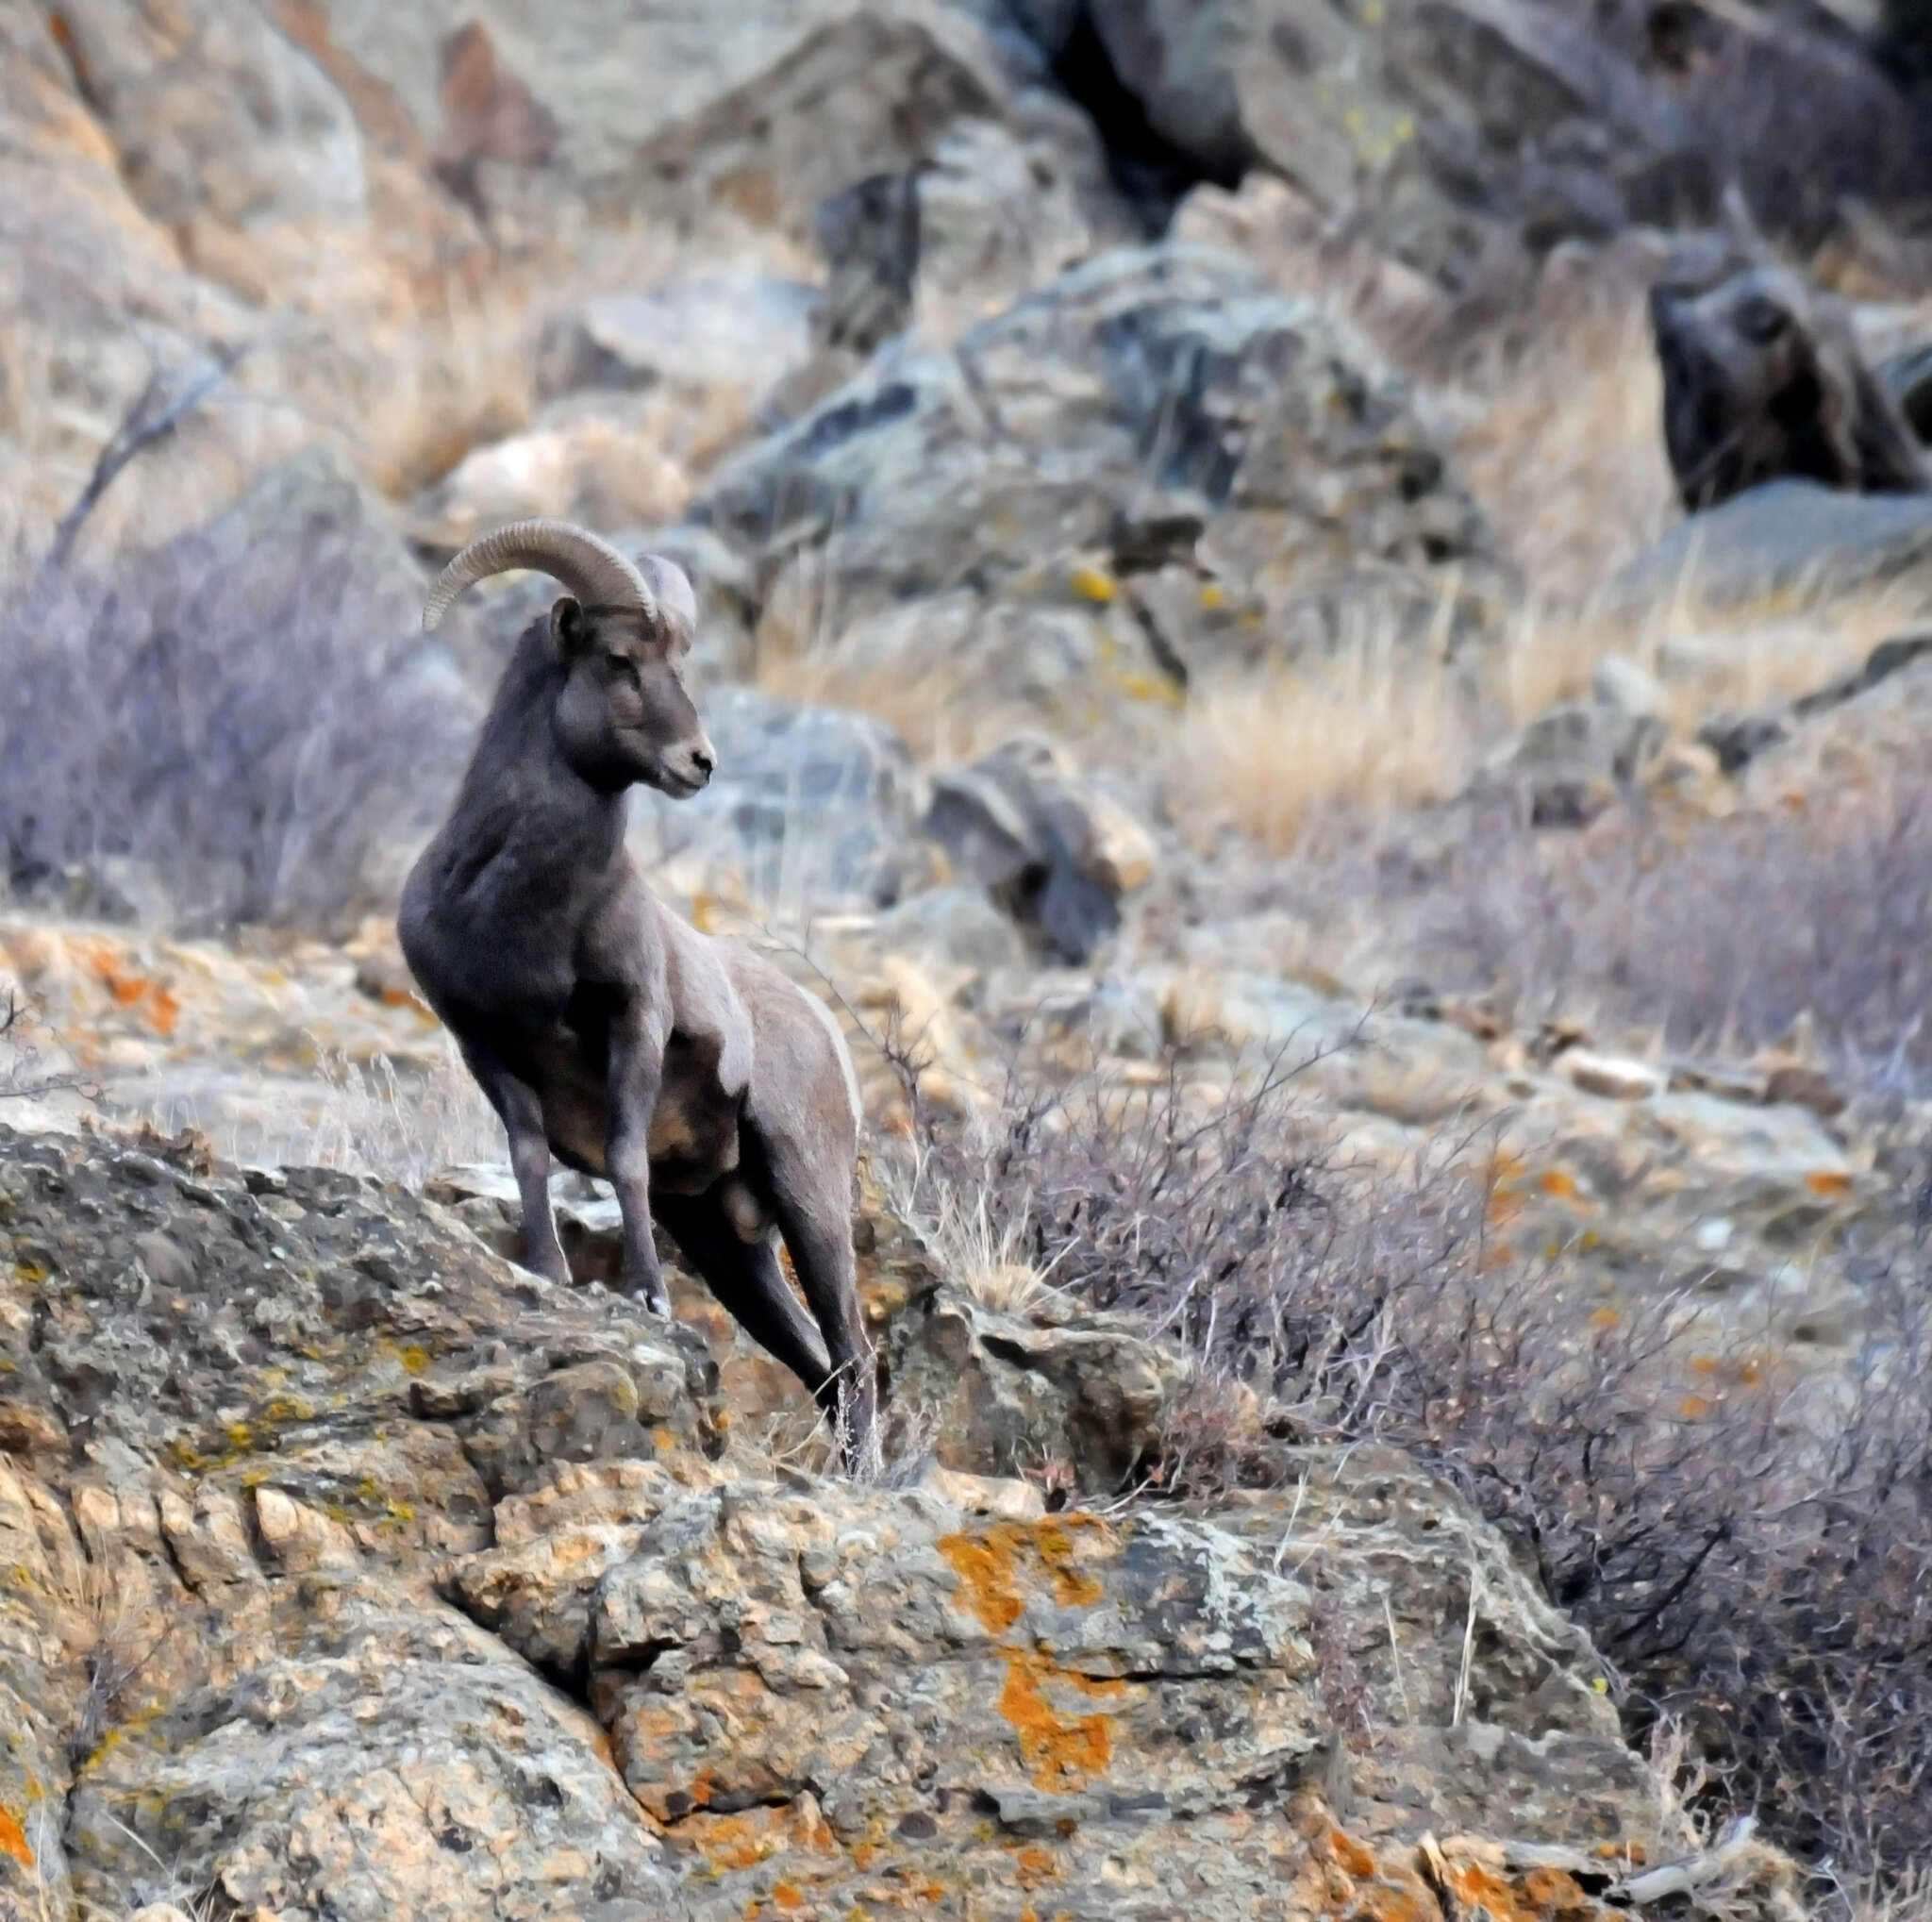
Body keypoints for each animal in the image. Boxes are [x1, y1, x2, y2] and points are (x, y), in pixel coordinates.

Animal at [404, 517, 880, 1467]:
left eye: (679, 664)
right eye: (620, 659)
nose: (700, 762)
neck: (521, 916)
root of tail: (823, 1030)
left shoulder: (634, 1024)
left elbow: (624, 1156)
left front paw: (647, 1297)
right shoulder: (487, 1046)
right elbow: (529, 1155)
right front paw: (548, 1273)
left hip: (810, 1202)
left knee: (854, 1356)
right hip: (730, 1251)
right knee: (821, 1370)